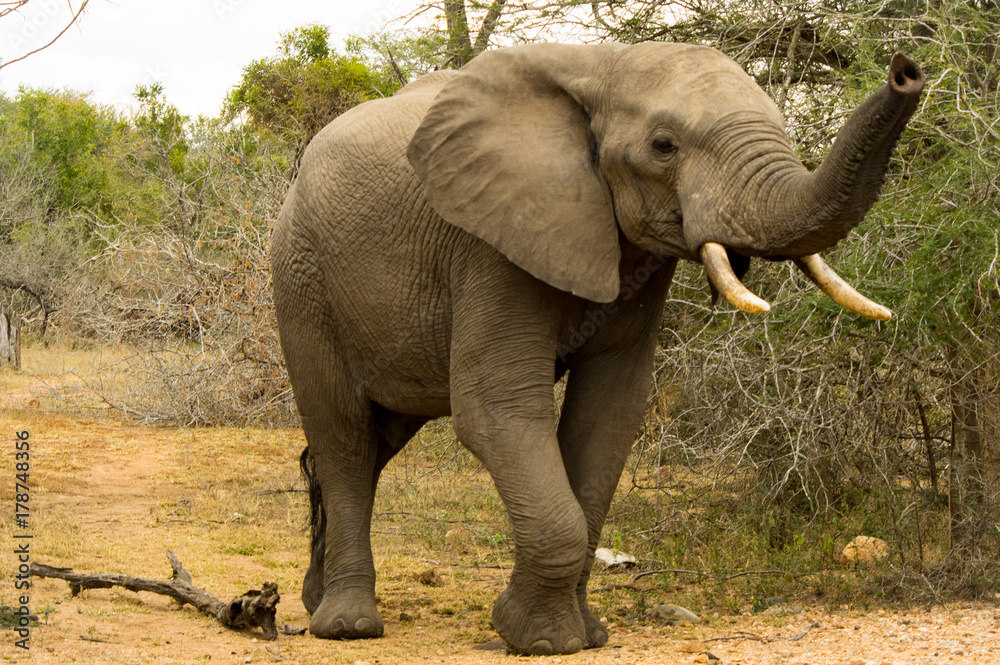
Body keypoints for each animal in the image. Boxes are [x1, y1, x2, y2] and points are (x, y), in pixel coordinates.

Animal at [270, 40, 924, 652]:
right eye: (664, 146)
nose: (906, 70)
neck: (601, 68)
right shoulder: (490, 241)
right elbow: (497, 408)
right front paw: (538, 640)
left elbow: (610, 413)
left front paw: (585, 635)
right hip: (302, 279)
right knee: (345, 436)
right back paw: (347, 626)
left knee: (375, 442)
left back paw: (315, 600)